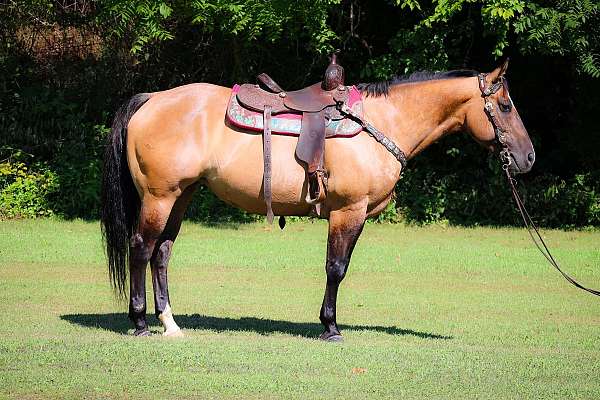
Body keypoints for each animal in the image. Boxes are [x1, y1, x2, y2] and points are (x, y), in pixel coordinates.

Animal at [101, 59, 536, 340]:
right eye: (504, 105)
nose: (528, 157)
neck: (381, 122)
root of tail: (152, 98)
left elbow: (337, 267)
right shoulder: (349, 211)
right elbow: (336, 268)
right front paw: (331, 327)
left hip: (181, 195)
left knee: (162, 253)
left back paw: (170, 324)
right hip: (159, 197)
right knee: (141, 248)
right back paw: (140, 323)